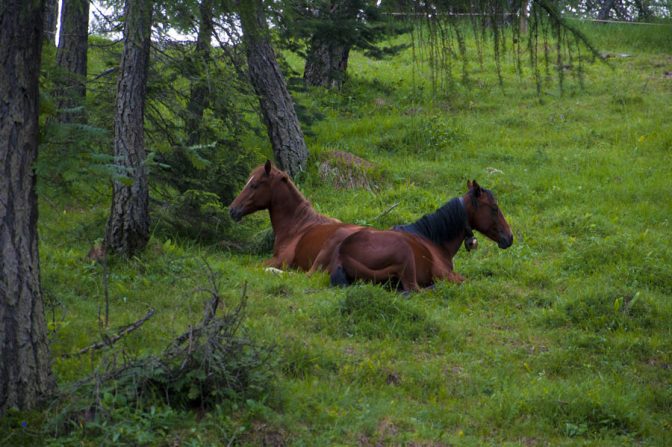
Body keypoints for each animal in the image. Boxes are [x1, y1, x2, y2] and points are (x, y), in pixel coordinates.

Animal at [328, 180, 512, 292]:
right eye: (494, 208)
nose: (509, 237)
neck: (433, 240)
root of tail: (342, 254)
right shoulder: (447, 275)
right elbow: (466, 280)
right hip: (405, 255)